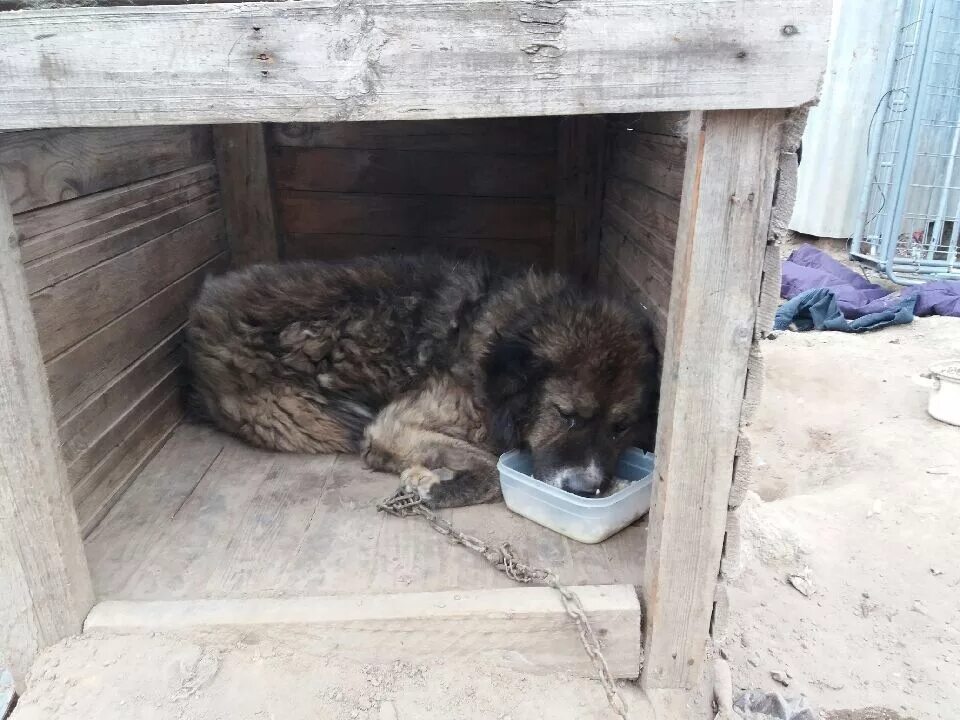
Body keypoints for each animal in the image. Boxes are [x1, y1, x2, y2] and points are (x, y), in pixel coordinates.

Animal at [186, 256, 660, 510]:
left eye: (620, 428)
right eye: (566, 415)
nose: (588, 490)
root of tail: (201, 310)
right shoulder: (393, 424)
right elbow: (491, 465)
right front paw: (435, 483)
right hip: (311, 417)